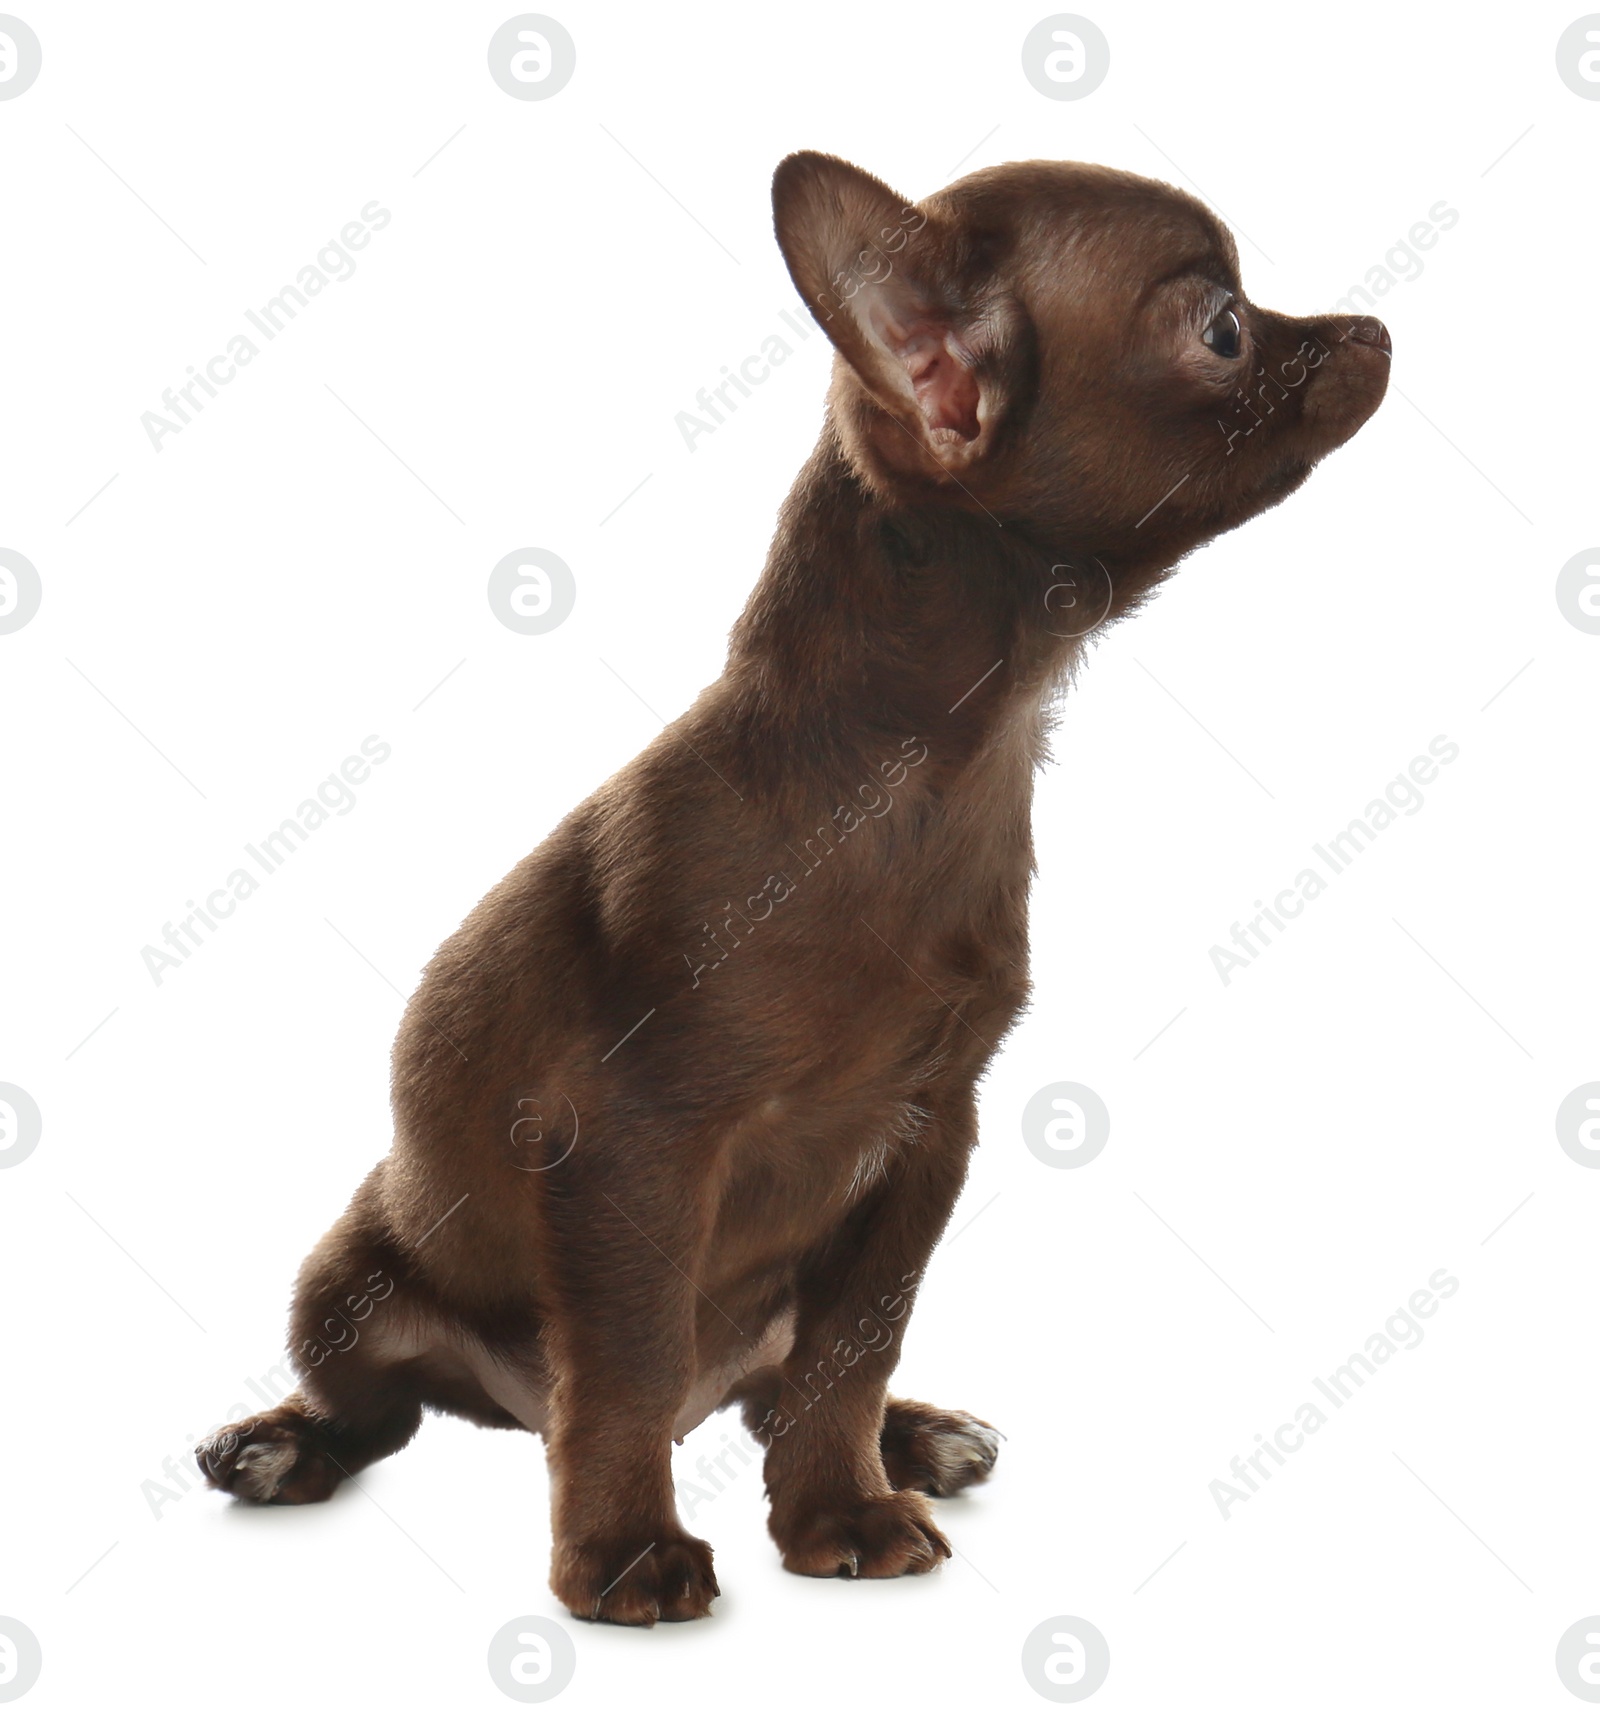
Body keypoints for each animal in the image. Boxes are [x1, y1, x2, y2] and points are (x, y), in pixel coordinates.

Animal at [194, 151, 1388, 1622]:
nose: (1371, 327)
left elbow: (850, 1354)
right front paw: (626, 1550)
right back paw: (284, 1442)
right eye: (1223, 328)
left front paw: (840, 1504)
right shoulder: (634, 1149)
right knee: (400, 1404)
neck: (912, 781)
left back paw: (915, 1434)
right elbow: (629, 1366)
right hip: (345, 1283)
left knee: (769, 1384)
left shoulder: (925, 1137)